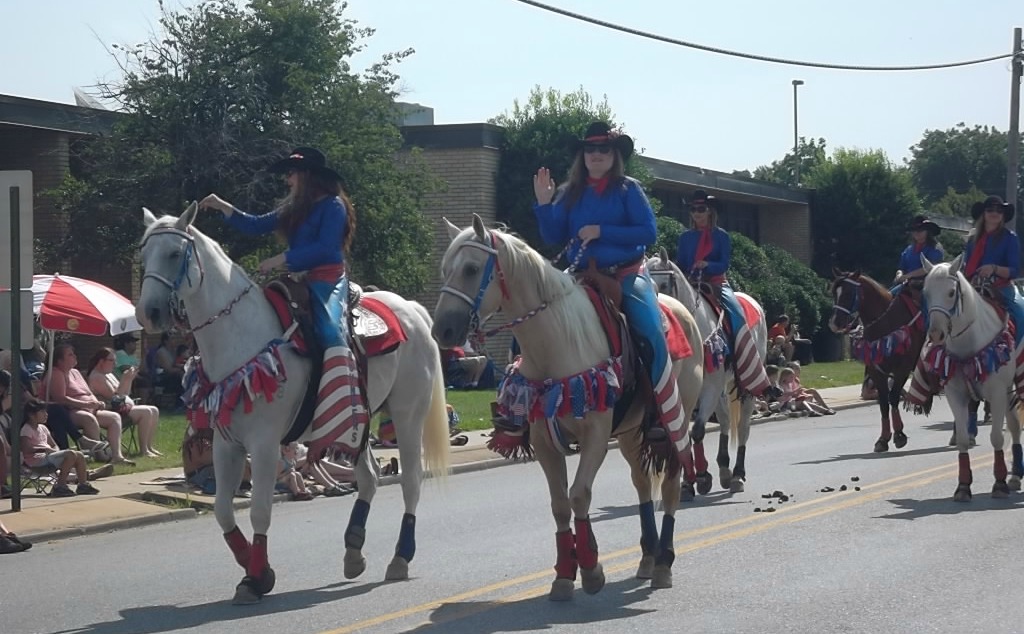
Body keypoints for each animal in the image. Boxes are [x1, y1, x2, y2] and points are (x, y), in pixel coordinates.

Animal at [135, 204, 448, 606]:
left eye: (175, 254)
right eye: (144, 255)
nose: (149, 313)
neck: (244, 337)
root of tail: (412, 310)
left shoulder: (264, 444)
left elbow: (259, 511)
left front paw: (255, 578)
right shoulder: (226, 443)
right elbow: (222, 510)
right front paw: (253, 565)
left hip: (408, 413)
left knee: (410, 481)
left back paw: (400, 558)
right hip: (355, 426)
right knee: (369, 478)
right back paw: (353, 551)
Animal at [432, 217, 704, 602]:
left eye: (471, 268)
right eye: (445, 269)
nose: (442, 329)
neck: (556, 342)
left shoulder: (595, 436)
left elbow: (579, 494)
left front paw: (591, 569)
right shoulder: (545, 443)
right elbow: (560, 504)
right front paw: (563, 575)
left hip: (673, 421)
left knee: (670, 486)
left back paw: (664, 563)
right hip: (630, 433)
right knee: (641, 483)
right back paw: (648, 557)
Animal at [651, 247, 765, 501]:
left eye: (663, 285)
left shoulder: (709, 388)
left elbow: (697, 431)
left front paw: (701, 477)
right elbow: (683, 435)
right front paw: (689, 482)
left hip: (745, 386)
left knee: (743, 427)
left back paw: (737, 475)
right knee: (724, 420)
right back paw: (724, 469)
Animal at [827, 270, 925, 454]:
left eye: (849, 293)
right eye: (833, 292)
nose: (835, 323)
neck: (887, 322)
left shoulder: (902, 368)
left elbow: (893, 397)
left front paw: (899, 435)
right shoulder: (877, 371)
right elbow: (884, 403)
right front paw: (883, 439)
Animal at [925, 255, 1019, 503]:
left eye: (951, 293)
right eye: (926, 292)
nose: (936, 334)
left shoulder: (997, 393)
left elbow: (996, 437)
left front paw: (999, 483)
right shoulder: (955, 395)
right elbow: (962, 439)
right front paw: (963, 486)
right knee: (1015, 426)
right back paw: (1017, 476)